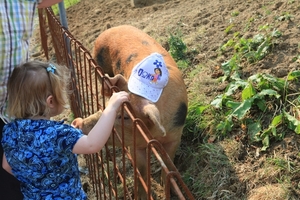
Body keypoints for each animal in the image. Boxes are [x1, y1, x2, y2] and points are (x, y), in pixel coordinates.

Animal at [71, 25, 186, 200]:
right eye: (107, 106)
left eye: (125, 116)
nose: (77, 122)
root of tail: (109, 29)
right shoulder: (135, 145)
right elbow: (141, 171)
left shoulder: (175, 134)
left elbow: (168, 162)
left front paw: (166, 186)